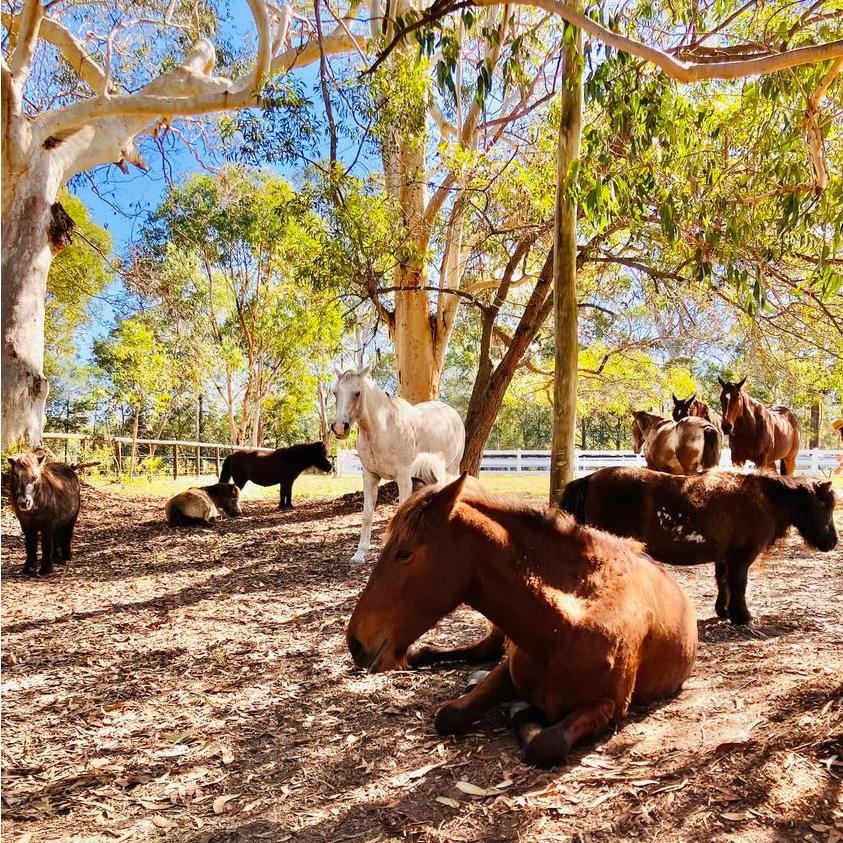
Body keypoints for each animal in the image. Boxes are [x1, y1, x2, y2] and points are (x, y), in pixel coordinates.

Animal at [332, 366, 464, 564]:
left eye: (357, 393)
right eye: (335, 393)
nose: (340, 427)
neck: (384, 428)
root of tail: (453, 413)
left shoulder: (403, 478)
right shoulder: (370, 476)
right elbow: (367, 515)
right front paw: (359, 554)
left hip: (451, 469)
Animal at [346, 474, 696, 772]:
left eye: (404, 553)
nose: (356, 643)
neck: (565, 628)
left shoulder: (610, 706)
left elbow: (545, 743)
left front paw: (522, 713)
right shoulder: (507, 670)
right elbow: (449, 715)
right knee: (479, 651)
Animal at [560, 468, 836, 628]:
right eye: (825, 505)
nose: (832, 541)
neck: (762, 500)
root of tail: (590, 478)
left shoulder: (725, 558)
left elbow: (723, 582)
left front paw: (724, 611)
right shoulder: (740, 558)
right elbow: (739, 584)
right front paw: (742, 615)